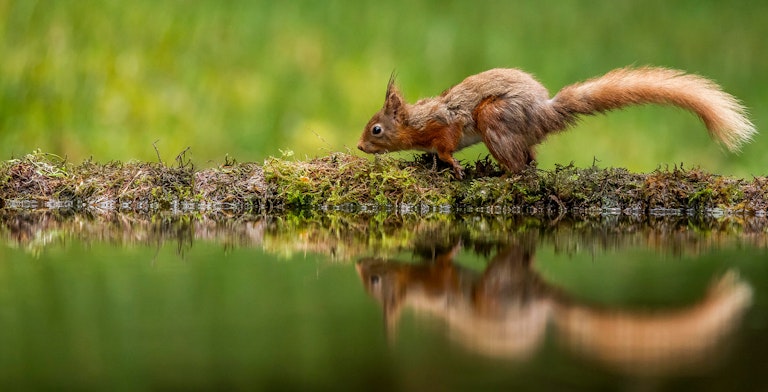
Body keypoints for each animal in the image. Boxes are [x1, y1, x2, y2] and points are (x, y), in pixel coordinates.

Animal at [356, 67, 752, 178]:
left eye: (377, 129)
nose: (359, 146)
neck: (416, 120)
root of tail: (543, 112)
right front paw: (430, 161)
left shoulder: (445, 124)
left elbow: (447, 145)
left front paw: (451, 164)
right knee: (530, 158)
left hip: (493, 119)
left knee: (520, 166)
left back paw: (503, 177)